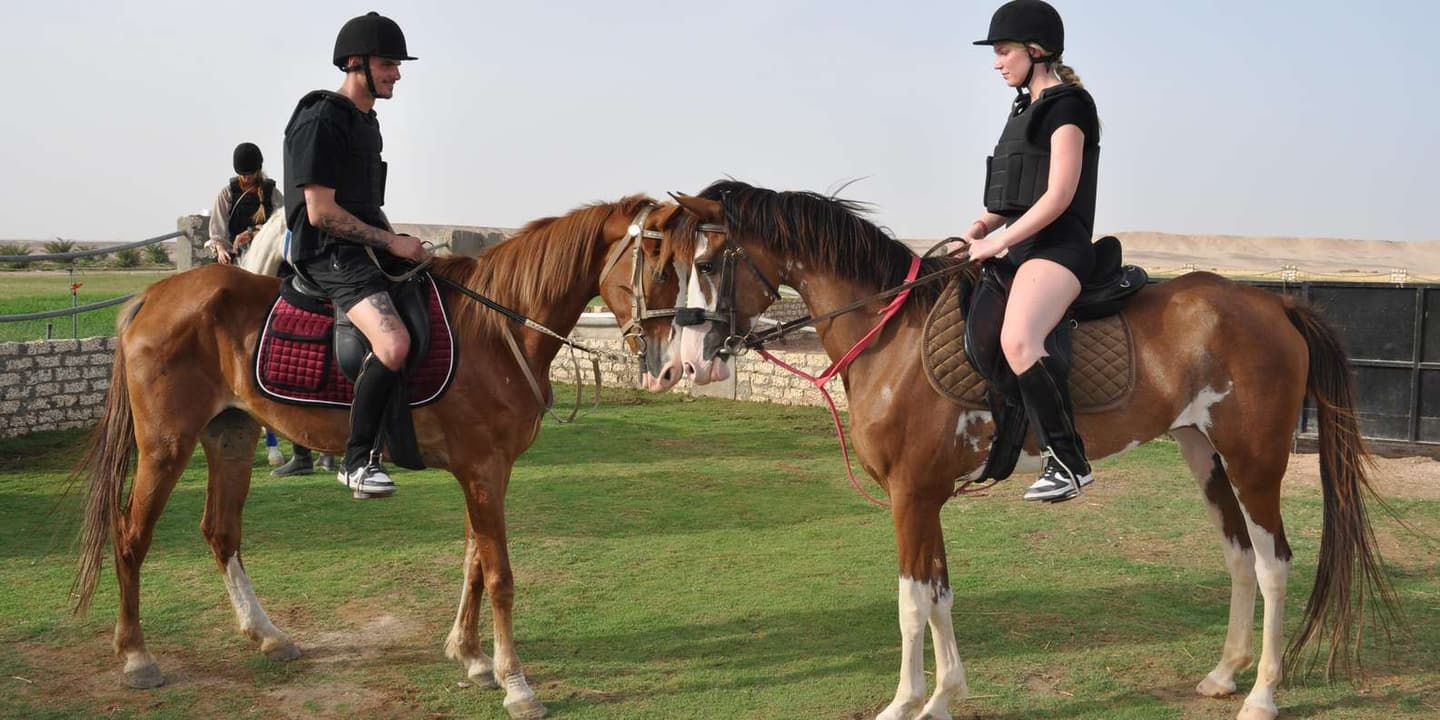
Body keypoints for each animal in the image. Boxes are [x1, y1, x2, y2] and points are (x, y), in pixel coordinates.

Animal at [72, 195, 689, 720]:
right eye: (661, 270)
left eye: (692, 268)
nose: (668, 368)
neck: (497, 328)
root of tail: (155, 295)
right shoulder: (484, 471)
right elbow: (499, 575)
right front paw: (516, 683)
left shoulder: (487, 473)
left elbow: (473, 559)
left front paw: (470, 657)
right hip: (165, 446)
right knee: (130, 536)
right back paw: (137, 656)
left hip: (231, 437)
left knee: (221, 533)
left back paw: (268, 636)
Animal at [667, 180, 1397, 720]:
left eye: (705, 264)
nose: (687, 360)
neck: (891, 331)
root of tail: (1272, 305)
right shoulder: (928, 498)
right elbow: (940, 594)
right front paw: (946, 696)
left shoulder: (910, 496)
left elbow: (911, 603)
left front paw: (908, 701)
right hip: (1203, 454)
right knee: (1240, 557)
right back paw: (1224, 674)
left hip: (1253, 462)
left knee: (1273, 565)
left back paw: (1263, 695)